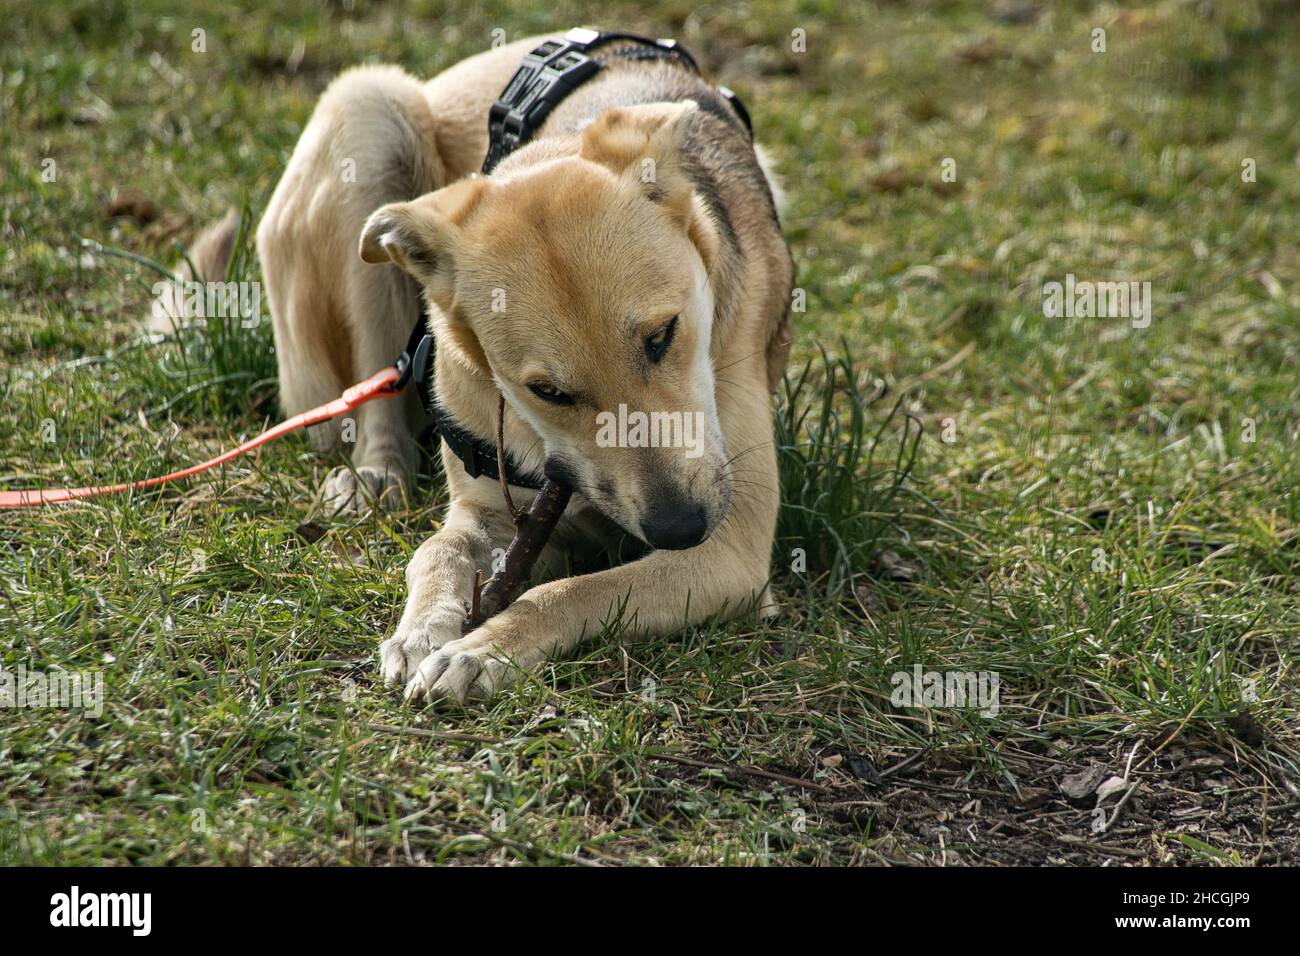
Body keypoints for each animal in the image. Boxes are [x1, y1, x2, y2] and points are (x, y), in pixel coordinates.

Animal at [163, 31, 790, 702]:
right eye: (546, 391)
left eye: (662, 336)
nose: (680, 528)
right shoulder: (487, 506)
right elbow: (439, 548)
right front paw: (423, 628)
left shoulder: (731, 552)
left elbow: (573, 590)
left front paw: (484, 648)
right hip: (368, 120)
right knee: (377, 393)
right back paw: (375, 476)